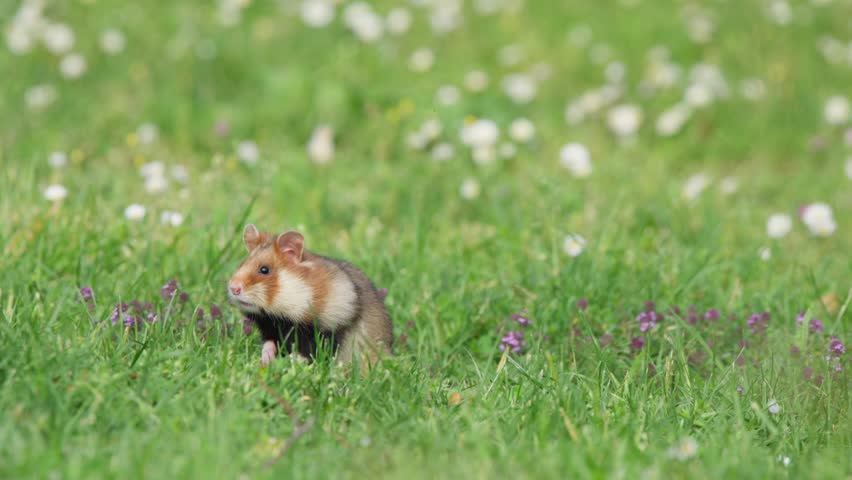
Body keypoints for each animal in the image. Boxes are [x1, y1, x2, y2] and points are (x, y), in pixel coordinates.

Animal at [227, 224, 393, 367]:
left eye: (264, 270)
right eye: (241, 264)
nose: (233, 288)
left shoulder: (328, 329)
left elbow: (308, 352)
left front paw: (289, 361)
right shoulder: (271, 328)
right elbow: (269, 344)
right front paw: (266, 360)